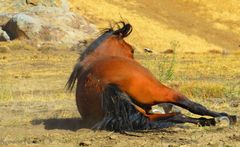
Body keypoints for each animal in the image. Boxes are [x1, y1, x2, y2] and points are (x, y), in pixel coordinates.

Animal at [67, 21, 236, 131]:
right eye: (132, 50)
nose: (134, 58)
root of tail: (101, 85)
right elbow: (195, 106)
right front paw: (225, 116)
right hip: (160, 92)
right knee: (186, 109)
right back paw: (220, 119)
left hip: (144, 109)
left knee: (173, 116)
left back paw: (206, 121)